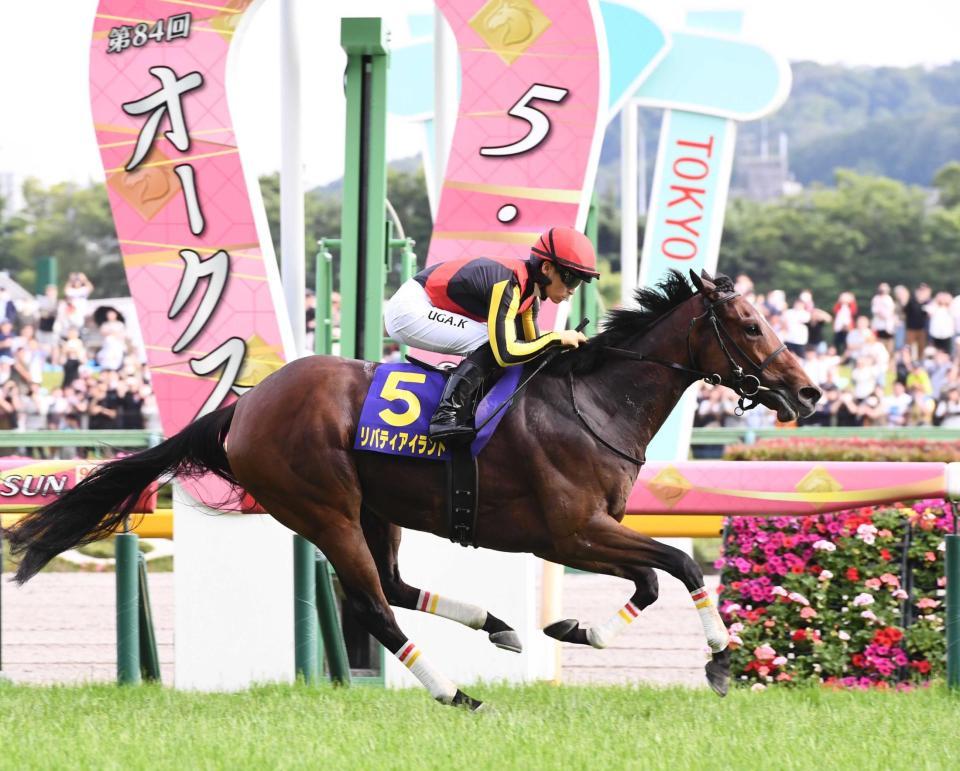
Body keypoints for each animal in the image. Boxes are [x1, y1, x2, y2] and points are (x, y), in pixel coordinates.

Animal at [5, 268, 816, 708]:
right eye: (749, 324)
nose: (807, 392)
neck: (594, 400)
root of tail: (246, 403)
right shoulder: (568, 530)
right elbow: (676, 564)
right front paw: (718, 661)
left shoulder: (587, 531)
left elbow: (652, 578)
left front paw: (573, 629)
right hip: (323, 507)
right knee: (372, 603)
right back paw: (456, 693)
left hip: (378, 508)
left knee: (393, 585)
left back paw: (498, 624)